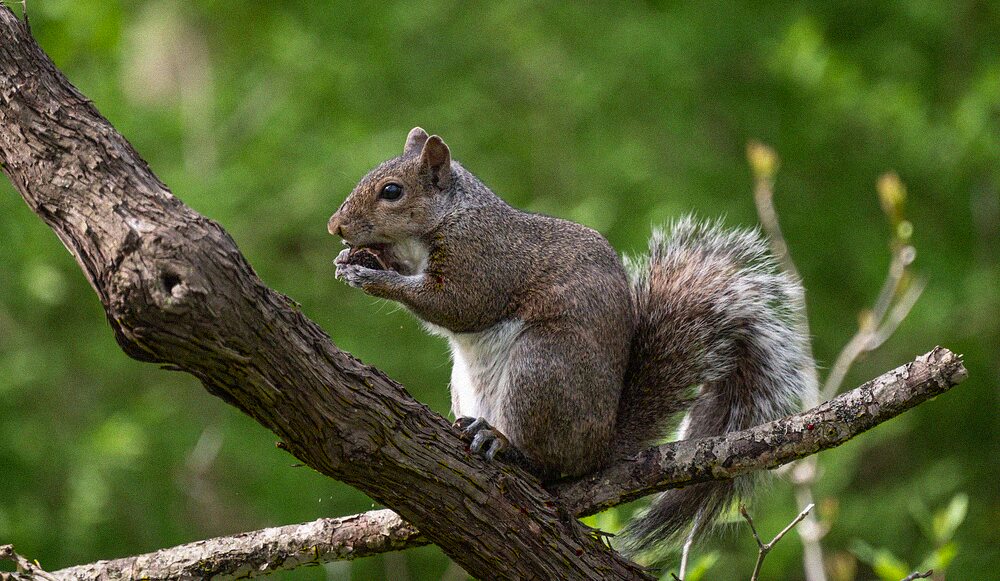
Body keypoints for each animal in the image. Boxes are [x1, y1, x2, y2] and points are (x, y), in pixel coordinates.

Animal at [327, 127, 813, 553]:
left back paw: (504, 444)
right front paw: (357, 259)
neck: (447, 218)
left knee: (550, 465)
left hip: (542, 366)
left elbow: (457, 305)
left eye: (392, 191)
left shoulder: (484, 260)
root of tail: (601, 449)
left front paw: (374, 278)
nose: (335, 226)